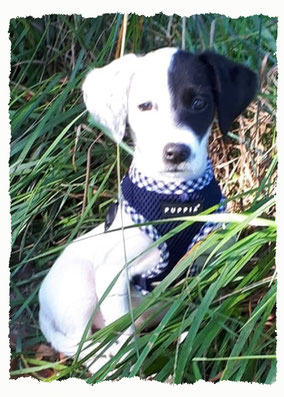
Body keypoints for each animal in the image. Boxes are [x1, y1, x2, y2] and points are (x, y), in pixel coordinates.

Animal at [38, 46, 258, 372]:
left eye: (199, 103)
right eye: (144, 106)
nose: (175, 152)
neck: (176, 203)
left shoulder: (212, 262)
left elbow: (207, 309)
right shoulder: (113, 276)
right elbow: (123, 336)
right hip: (78, 290)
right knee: (81, 344)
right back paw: (102, 362)